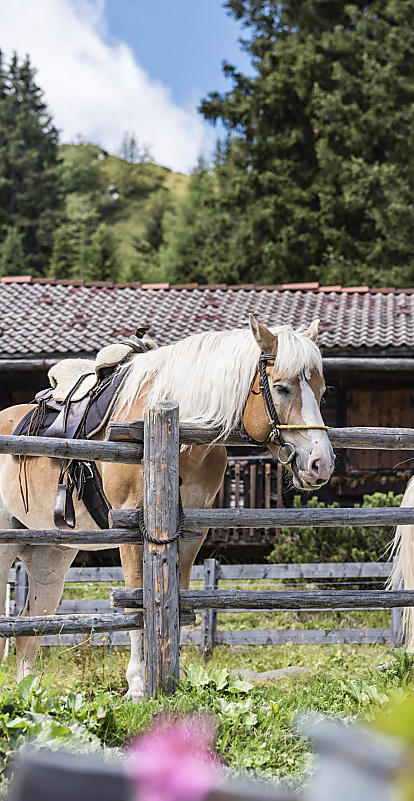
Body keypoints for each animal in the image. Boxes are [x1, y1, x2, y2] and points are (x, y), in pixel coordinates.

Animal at [0, 316, 334, 696]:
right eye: (281, 388)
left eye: (322, 391)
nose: (321, 464)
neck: (177, 432)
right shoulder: (133, 529)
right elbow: (138, 601)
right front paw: (138, 683)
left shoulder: (190, 532)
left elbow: (178, 597)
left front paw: (174, 673)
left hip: (50, 554)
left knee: (29, 630)